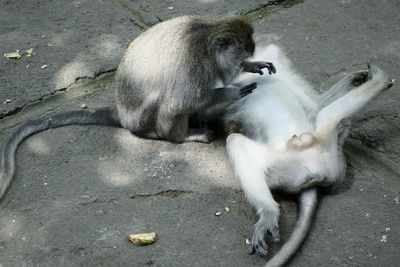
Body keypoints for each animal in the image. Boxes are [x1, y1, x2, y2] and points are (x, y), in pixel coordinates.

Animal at [0, 14, 276, 199]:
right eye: (243, 50)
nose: (248, 56)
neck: (207, 40)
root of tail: (123, 116)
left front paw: (252, 67)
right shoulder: (196, 67)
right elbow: (181, 101)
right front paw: (233, 91)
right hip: (145, 121)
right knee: (166, 102)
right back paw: (183, 136)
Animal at [225, 45, 394, 266]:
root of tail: (321, 179)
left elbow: (314, 107)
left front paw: (355, 78)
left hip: (318, 152)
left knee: (325, 116)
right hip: (288, 162)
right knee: (237, 141)